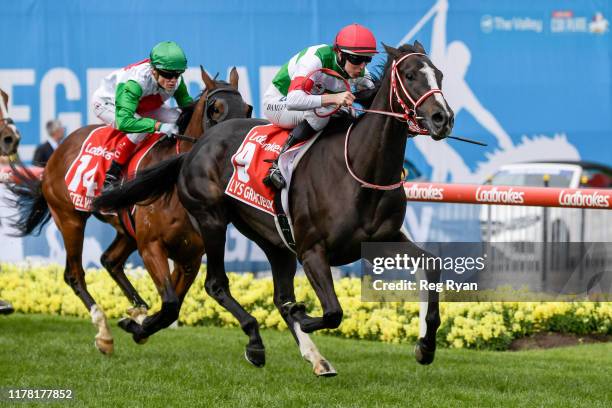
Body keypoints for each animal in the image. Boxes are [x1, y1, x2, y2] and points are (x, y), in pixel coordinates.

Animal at [7, 67, 251, 354]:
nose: (235, 147)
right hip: (70, 219)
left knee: (110, 261)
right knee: (74, 274)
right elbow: (170, 304)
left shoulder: (189, 257)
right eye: (216, 109)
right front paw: (136, 326)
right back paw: (104, 332)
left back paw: (138, 308)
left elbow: (173, 305)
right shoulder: (151, 246)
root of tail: (55, 156)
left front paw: (140, 324)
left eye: (247, 109)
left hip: (125, 230)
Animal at [91, 42, 454, 372]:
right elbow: (332, 312)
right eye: (409, 75)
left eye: (439, 75)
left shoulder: (380, 239)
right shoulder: (312, 250)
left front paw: (425, 346)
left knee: (279, 296)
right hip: (212, 219)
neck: (361, 170)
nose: (443, 118)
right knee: (217, 284)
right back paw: (249, 341)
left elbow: (431, 264)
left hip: (274, 239)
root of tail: (195, 148)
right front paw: (303, 315)